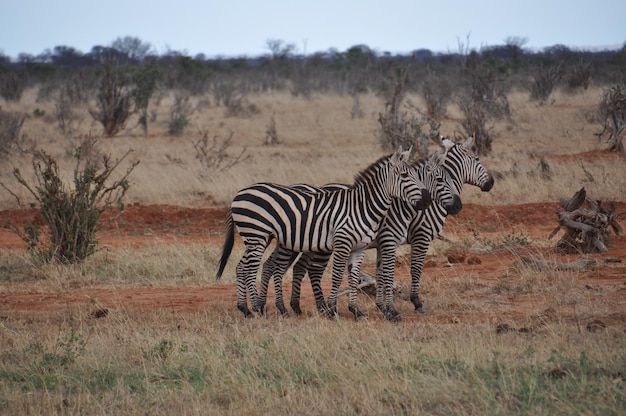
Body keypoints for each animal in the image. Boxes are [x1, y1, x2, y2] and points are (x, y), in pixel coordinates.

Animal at [214, 148, 428, 320]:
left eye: (416, 175)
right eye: (404, 175)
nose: (426, 201)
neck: (363, 206)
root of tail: (239, 193)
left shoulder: (359, 248)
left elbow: (354, 278)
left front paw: (356, 311)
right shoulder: (345, 243)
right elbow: (338, 276)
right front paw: (333, 310)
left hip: (258, 238)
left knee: (242, 267)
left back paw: (246, 309)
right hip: (257, 234)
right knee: (250, 269)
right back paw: (258, 309)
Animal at [286, 136, 492, 322]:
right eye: (477, 159)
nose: (457, 206)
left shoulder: (383, 244)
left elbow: (380, 273)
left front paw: (382, 308)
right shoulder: (419, 237)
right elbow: (412, 269)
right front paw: (415, 304)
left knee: (300, 267)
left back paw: (305, 307)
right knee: (313, 270)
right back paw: (322, 309)